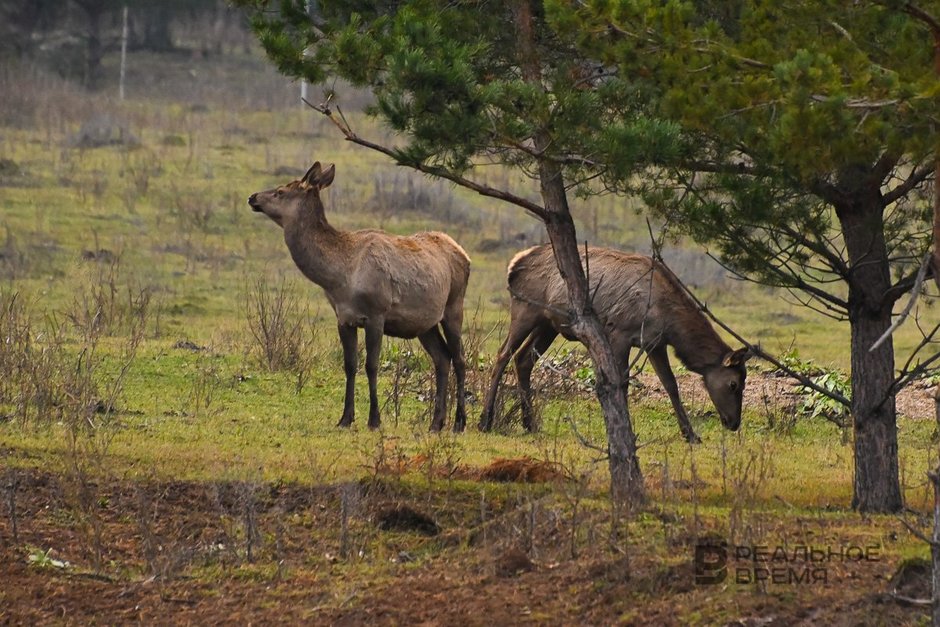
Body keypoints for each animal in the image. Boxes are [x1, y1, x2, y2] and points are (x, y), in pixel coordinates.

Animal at [248, 163, 470, 432]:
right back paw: (436, 423)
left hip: (454, 305)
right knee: (442, 358)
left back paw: (459, 422)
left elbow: (371, 365)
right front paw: (345, 418)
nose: (253, 197)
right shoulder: (344, 318)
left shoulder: (377, 314)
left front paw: (374, 419)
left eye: (280, 191)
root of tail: (465, 254)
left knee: (460, 359)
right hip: (424, 324)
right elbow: (350, 365)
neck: (339, 278)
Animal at [482, 243, 752, 444]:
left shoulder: (654, 344)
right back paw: (485, 421)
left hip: (548, 324)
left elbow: (671, 385)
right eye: (733, 384)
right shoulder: (619, 333)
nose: (734, 422)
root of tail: (514, 263)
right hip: (525, 309)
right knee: (502, 354)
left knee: (523, 359)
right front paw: (626, 431)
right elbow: (621, 383)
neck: (669, 322)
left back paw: (529, 423)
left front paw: (691, 435)